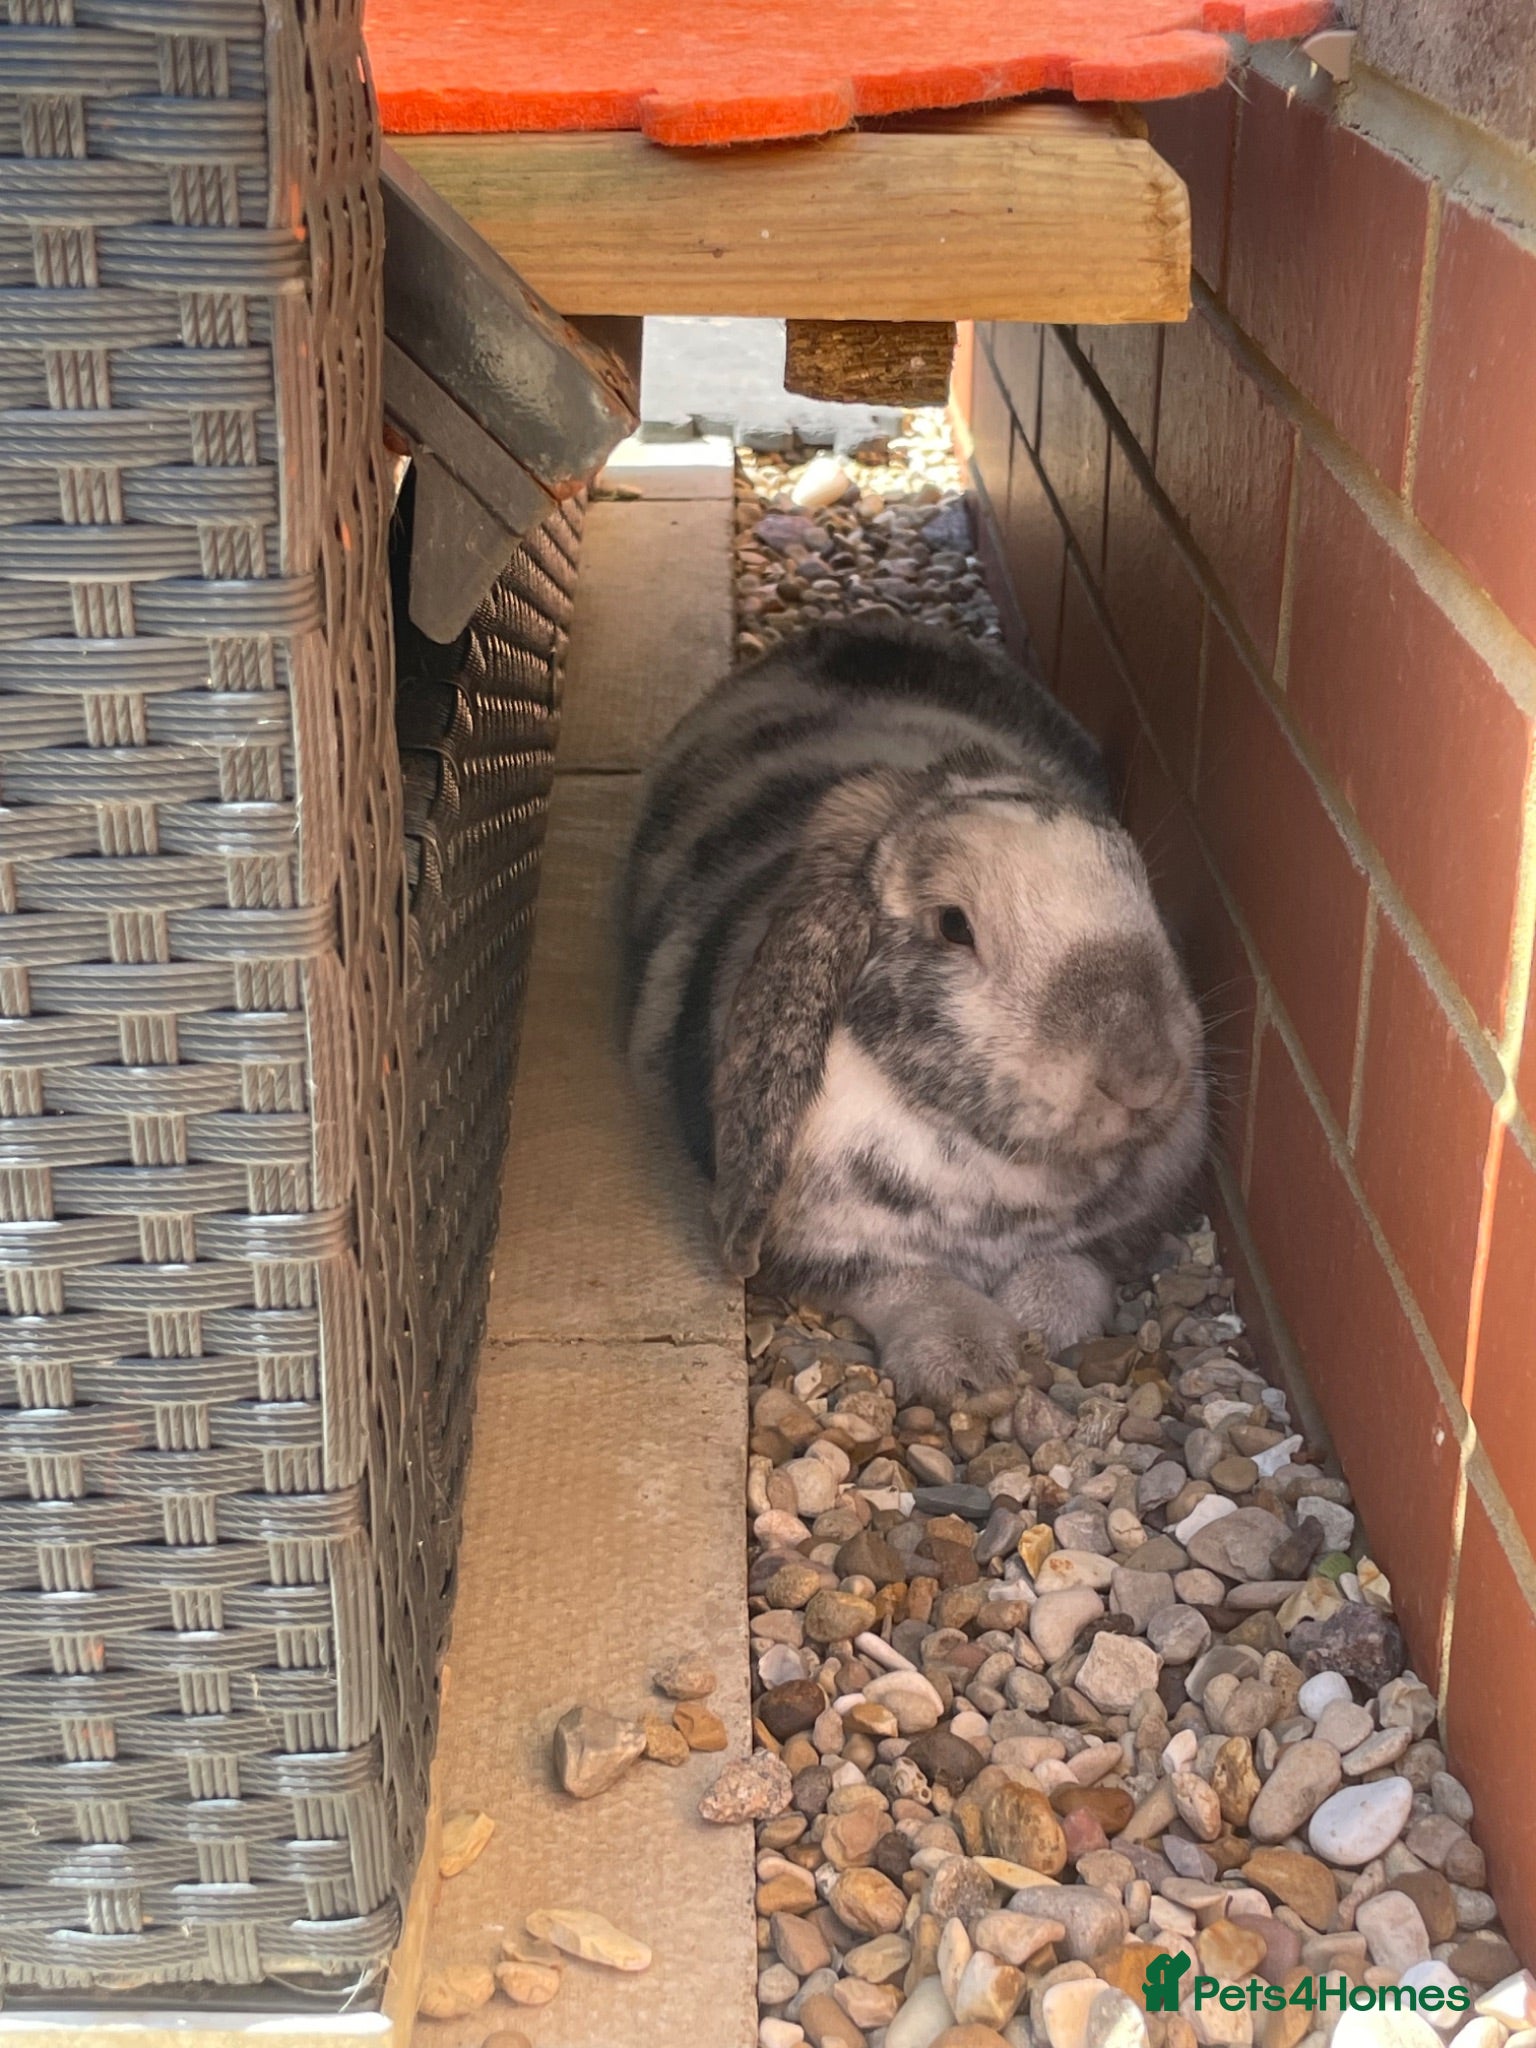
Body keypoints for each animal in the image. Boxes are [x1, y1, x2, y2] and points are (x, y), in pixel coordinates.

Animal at [621, 618, 1207, 1406]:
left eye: (1136, 877)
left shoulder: (1107, 1236)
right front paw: (964, 1361)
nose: (1145, 1079)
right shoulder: (834, 1251)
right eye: (954, 926)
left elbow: (1075, 1269)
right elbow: (906, 1283)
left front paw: (1043, 1323)